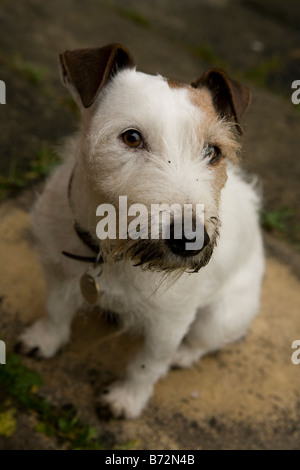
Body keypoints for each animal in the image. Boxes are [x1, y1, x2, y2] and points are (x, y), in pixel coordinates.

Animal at [17, 44, 264, 418]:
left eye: (213, 151)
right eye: (132, 137)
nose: (191, 240)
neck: (111, 254)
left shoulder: (169, 323)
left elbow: (147, 364)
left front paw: (127, 399)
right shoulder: (60, 271)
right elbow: (56, 310)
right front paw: (45, 340)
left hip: (222, 316)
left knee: (202, 342)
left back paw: (183, 355)